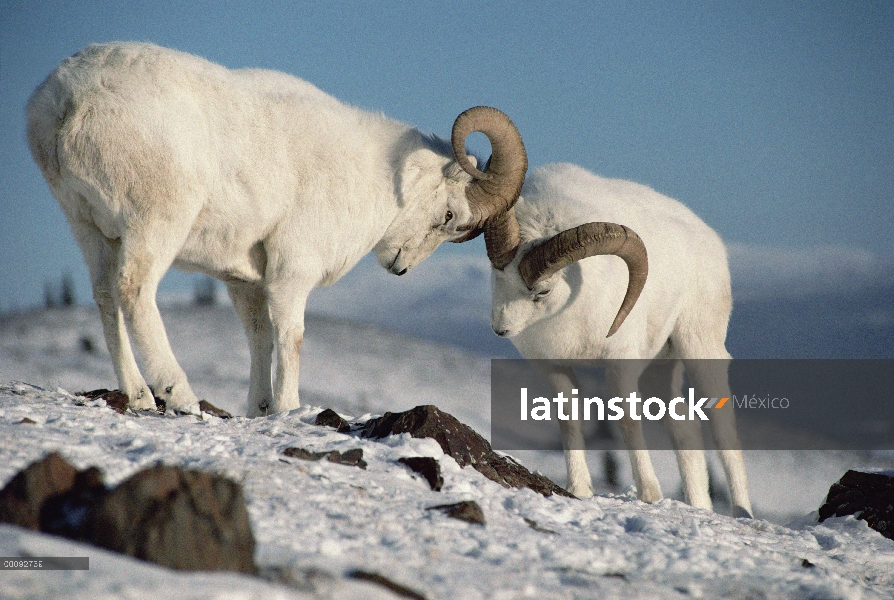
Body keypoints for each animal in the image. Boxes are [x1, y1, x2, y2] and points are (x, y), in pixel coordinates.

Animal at [28, 43, 528, 418]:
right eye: (449, 217)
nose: (400, 268)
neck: (371, 174)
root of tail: (69, 102)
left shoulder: (245, 283)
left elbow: (260, 341)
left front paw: (261, 410)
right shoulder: (292, 274)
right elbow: (291, 339)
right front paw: (289, 410)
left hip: (91, 230)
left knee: (106, 298)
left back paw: (138, 397)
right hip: (154, 224)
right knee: (134, 292)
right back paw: (179, 397)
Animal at [484, 164, 748, 516]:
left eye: (542, 291)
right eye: (497, 275)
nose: (500, 329)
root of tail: (711, 242)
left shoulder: (619, 363)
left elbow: (627, 421)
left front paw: (649, 495)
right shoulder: (553, 367)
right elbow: (568, 420)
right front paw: (579, 489)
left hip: (700, 348)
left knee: (723, 432)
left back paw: (743, 512)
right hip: (660, 369)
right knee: (684, 429)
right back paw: (700, 506)